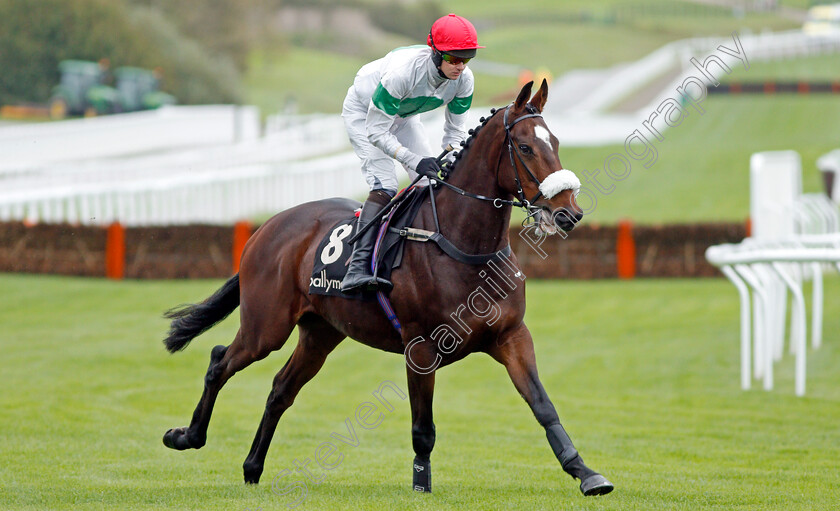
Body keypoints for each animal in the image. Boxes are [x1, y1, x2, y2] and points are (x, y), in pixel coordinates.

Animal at [161, 80, 612, 496]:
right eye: (524, 147)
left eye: (555, 142)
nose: (568, 212)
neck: (464, 246)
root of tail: (266, 228)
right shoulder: (422, 348)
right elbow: (423, 428)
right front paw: (421, 486)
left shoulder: (512, 336)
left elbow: (542, 405)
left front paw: (586, 473)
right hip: (265, 326)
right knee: (220, 361)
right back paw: (186, 436)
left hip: (320, 333)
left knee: (280, 390)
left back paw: (252, 467)